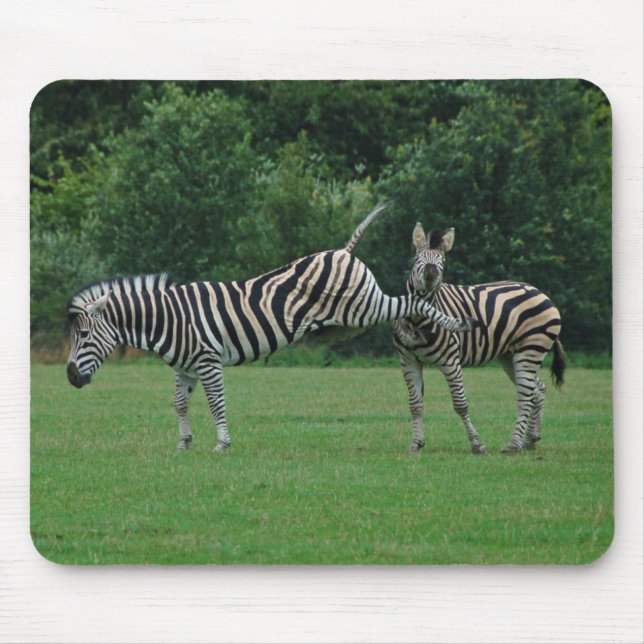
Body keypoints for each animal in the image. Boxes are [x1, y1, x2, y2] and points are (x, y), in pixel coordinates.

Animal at [66, 200, 477, 453]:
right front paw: (184, 443)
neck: (170, 318)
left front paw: (222, 444)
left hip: (363, 307)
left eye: (84, 336)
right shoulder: (185, 367)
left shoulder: (207, 361)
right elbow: (180, 403)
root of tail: (344, 251)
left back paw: (455, 321)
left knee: (412, 302)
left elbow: (216, 402)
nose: (70, 378)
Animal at [393, 223, 566, 455]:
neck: (419, 319)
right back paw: (530, 440)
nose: (430, 273)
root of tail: (538, 291)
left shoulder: (451, 361)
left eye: (443, 261)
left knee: (525, 396)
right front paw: (415, 444)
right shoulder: (408, 361)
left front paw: (477, 444)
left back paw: (513, 444)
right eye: (417, 258)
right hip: (510, 355)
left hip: (531, 348)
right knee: (537, 390)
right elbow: (415, 405)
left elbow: (460, 404)